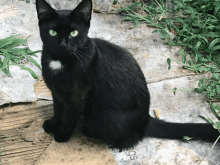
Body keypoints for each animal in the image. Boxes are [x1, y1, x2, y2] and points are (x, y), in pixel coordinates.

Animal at [35, 0, 219, 150]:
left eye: (73, 33)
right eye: (52, 33)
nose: (63, 45)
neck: (59, 61)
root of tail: (146, 119)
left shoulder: (78, 97)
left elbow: (68, 117)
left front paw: (61, 134)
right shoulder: (56, 92)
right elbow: (58, 110)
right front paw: (52, 124)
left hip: (106, 118)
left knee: (131, 139)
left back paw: (94, 134)